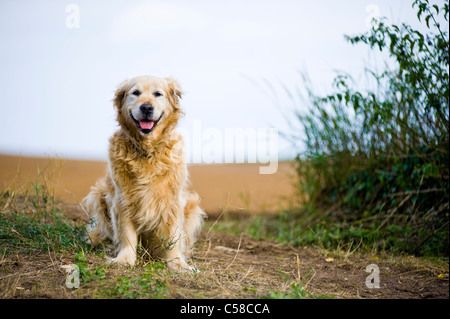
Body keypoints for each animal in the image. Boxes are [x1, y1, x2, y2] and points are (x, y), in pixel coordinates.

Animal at [82, 76, 206, 272]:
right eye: (135, 93)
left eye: (158, 94)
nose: (146, 107)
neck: (148, 150)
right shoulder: (123, 199)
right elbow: (127, 234)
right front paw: (124, 259)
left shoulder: (172, 201)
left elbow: (173, 236)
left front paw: (177, 263)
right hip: (99, 194)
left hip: (192, 207)